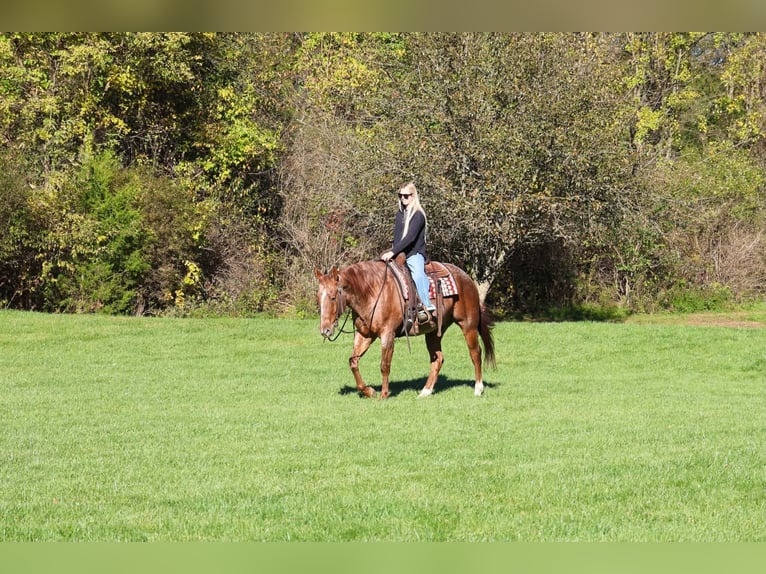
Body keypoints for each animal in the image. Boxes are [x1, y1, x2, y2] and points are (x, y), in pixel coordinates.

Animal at [314, 259, 496, 399]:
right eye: (318, 297)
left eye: (332, 297)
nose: (325, 331)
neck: (372, 291)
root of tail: (466, 277)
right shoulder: (364, 335)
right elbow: (353, 362)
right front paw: (369, 391)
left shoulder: (387, 334)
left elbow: (384, 365)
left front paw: (383, 394)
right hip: (434, 332)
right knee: (437, 358)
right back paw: (425, 392)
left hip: (468, 325)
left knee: (475, 353)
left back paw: (478, 388)